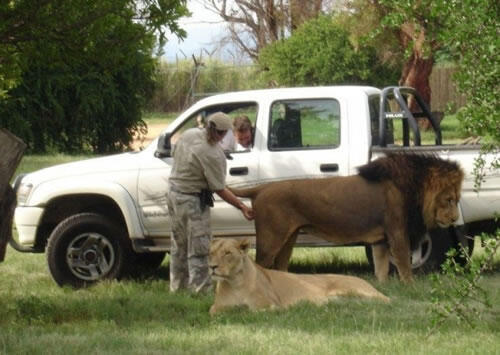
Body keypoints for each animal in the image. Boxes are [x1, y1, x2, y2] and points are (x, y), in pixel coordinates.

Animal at [209, 239, 388, 314]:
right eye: (211, 252)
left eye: (227, 253)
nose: (212, 267)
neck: (235, 282)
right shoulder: (217, 307)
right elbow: (214, 312)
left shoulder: (269, 304)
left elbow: (254, 311)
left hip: (351, 289)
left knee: (387, 300)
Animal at [230, 154, 464, 284]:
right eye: (449, 199)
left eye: (457, 199)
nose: (454, 219)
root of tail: (261, 188)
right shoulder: (397, 232)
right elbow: (405, 265)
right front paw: (410, 287)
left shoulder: (380, 240)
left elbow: (381, 269)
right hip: (271, 239)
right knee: (259, 266)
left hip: (289, 238)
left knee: (280, 267)